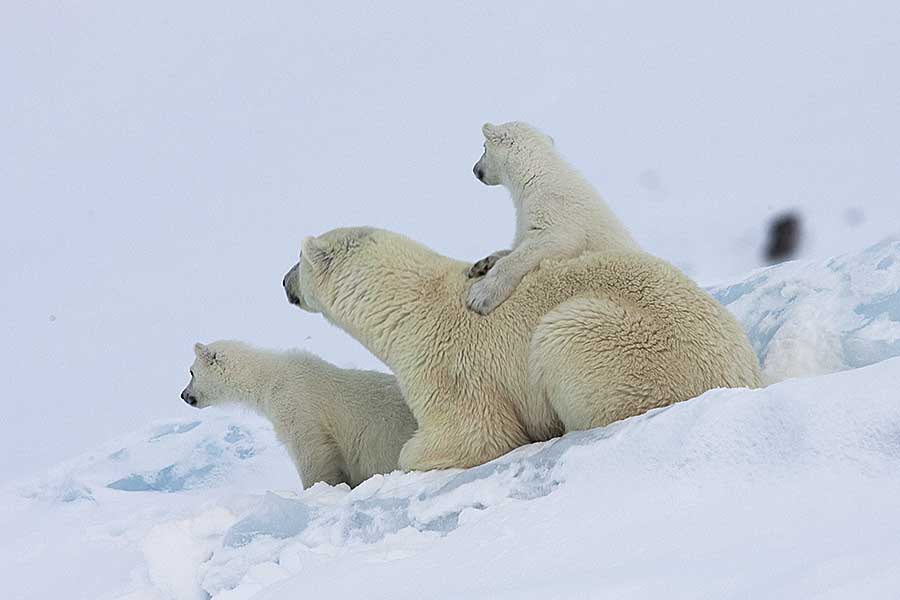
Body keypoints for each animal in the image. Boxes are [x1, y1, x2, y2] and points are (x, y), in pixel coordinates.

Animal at [284, 227, 764, 472]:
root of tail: (742, 374)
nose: (283, 282)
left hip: (622, 344)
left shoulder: (443, 362)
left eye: (297, 261)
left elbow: (475, 435)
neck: (408, 306)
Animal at [468, 121, 636, 314]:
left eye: (483, 147)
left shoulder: (554, 206)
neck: (536, 172)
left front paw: (479, 297)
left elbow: (552, 240)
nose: (475, 169)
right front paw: (482, 264)